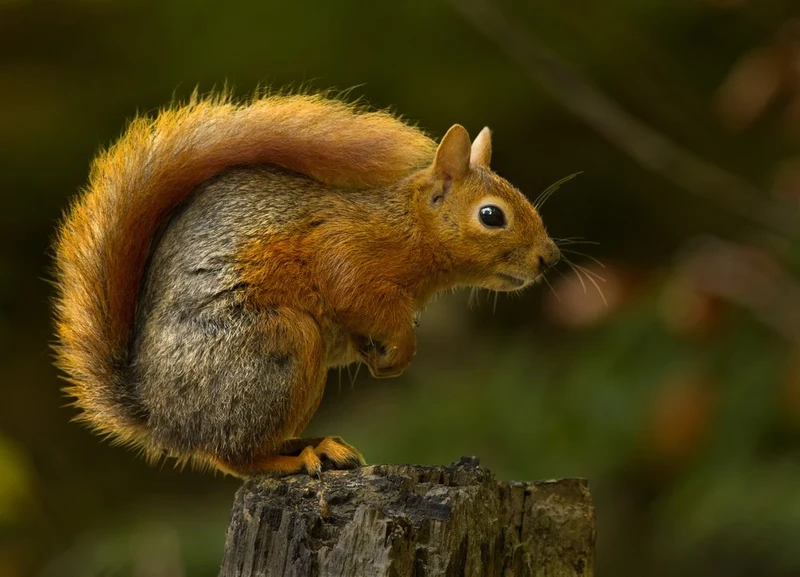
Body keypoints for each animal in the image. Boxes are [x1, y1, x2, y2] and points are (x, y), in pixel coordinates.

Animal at [52, 92, 560, 478]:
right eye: (491, 215)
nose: (549, 258)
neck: (406, 230)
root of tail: (162, 417)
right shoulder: (345, 253)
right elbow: (358, 297)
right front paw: (401, 351)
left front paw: (382, 358)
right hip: (278, 344)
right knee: (235, 456)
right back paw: (294, 459)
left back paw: (320, 446)